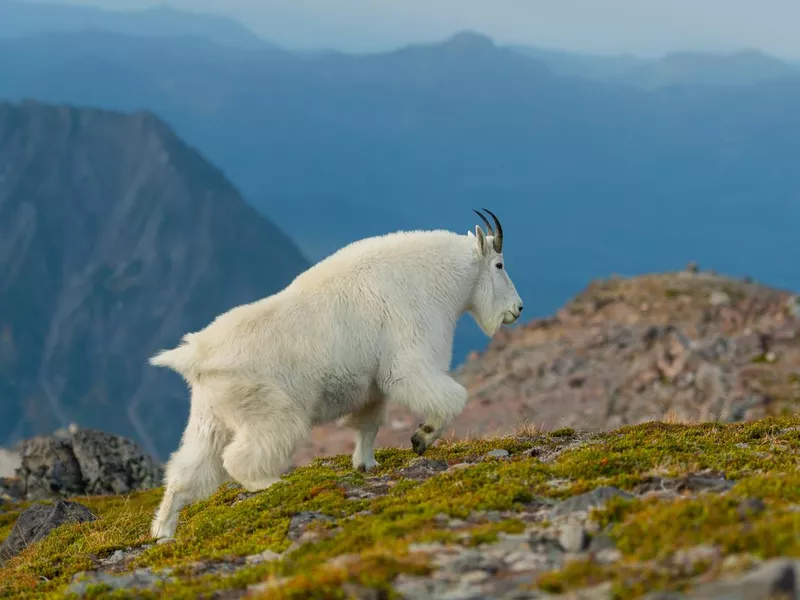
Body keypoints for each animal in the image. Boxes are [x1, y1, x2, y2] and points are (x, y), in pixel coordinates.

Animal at [148, 209, 524, 536]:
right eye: (500, 264)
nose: (518, 309)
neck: (436, 279)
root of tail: (195, 356)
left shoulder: (372, 387)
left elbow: (368, 424)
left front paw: (366, 464)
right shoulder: (409, 357)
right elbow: (448, 395)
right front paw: (422, 437)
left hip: (209, 417)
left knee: (187, 470)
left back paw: (163, 531)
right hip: (269, 408)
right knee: (240, 458)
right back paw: (271, 483)